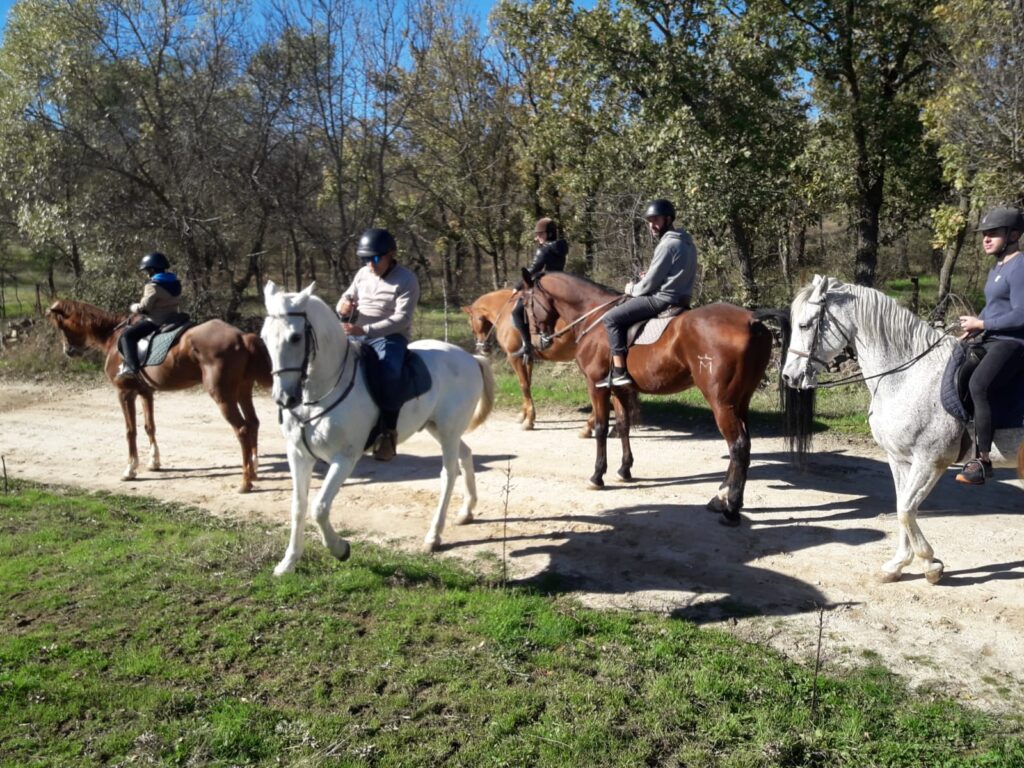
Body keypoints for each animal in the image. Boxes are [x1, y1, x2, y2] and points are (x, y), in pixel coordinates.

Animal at [47, 296, 272, 489]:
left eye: (60, 326)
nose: (69, 351)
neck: (113, 335)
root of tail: (242, 336)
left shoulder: (124, 393)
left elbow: (130, 431)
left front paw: (130, 469)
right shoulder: (146, 392)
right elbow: (150, 427)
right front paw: (154, 463)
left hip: (223, 397)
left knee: (242, 429)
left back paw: (245, 483)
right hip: (243, 391)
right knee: (253, 423)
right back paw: (253, 470)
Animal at [264, 280, 495, 573]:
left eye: (295, 337)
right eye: (264, 337)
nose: (284, 398)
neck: (320, 392)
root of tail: (469, 358)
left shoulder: (344, 458)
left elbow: (319, 507)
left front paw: (340, 548)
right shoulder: (298, 455)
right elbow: (298, 506)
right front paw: (289, 562)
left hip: (448, 432)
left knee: (448, 473)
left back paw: (433, 536)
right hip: (437, 428)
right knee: (466, 455)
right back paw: (466, 512)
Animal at [462, 286, 634, 436]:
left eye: (473, 320)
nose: (482, 348)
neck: (506, 313)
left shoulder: (515, 357)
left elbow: (523, 385)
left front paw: (529, 420)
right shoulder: (528, 358)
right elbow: (528, 383)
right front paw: (524, 414)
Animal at [524, 268, 802, 528]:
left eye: (526, 304)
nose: (538, 342)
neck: (594, 317)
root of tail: (752, 319)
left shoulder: (597, 386)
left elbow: (602, 429)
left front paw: (597, 476)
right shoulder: (619, 389)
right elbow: (623, 426)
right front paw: (624, 470)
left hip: (722, 404)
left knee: (738, 447)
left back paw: (731, 508)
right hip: (740, 401)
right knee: (743, 447)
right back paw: (721, 498)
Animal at [778, 276, 1019, 581]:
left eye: (805, 325)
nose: (789, 376)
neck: (906, 376)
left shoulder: (930, 461)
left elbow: (905, 510)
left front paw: (930, 564)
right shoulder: (899, 459)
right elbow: (901, 506)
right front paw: (898, 565)